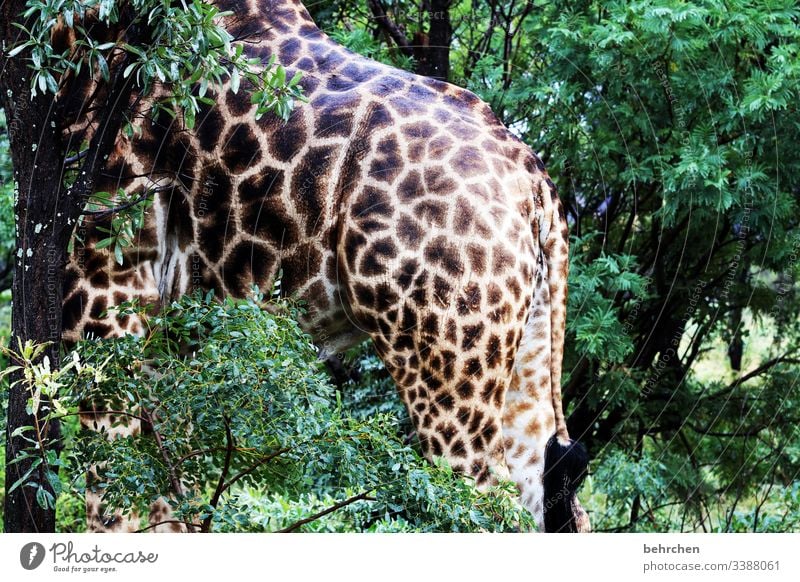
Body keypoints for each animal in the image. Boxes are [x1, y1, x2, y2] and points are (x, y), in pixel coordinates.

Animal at [59, 0, 588, 532]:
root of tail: (539, 188)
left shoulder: (104, 274)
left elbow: (116, 493)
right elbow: (166, 491)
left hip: (447, 365)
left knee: (486, 504)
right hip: (524, 353)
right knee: (554, 499)